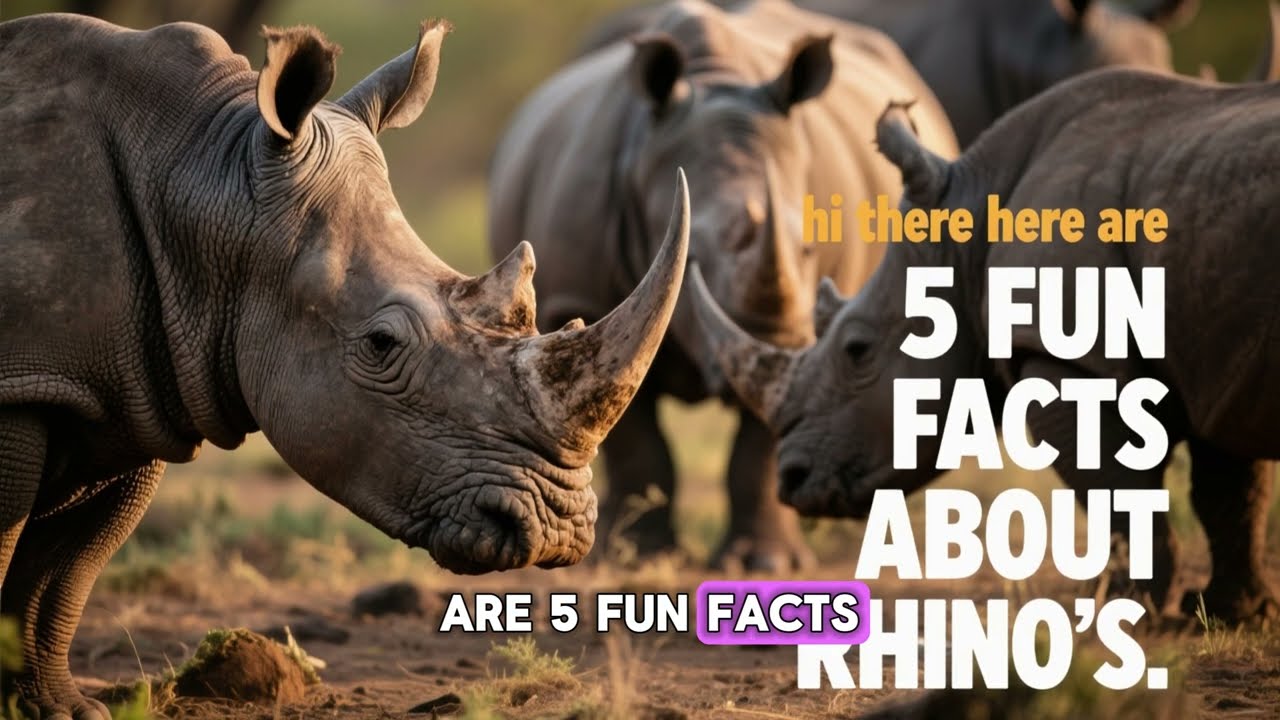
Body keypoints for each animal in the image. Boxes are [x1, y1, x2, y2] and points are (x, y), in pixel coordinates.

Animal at [0, 14, 689, 718]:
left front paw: (60, 708)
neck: (203, 177)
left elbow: (64, 574)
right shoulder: (28, 382)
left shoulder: (137, 388)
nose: (560, 529)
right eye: (381, 344)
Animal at [489, 0, 956, 571]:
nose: (778, 341)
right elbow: (634, 438)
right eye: (692, 259)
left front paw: (765, 566)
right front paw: (637, 559)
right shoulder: (583, 302)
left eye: (807, 250)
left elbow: (760, 446)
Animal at [692, 69, 1280, 621]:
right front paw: (1237, 611)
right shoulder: (1214, 355)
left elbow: (1123, 492)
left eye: (857, 350)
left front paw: (1119, 610)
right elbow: (1231, 491)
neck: (967, 237)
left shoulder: (1072, 355)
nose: (790, 479)